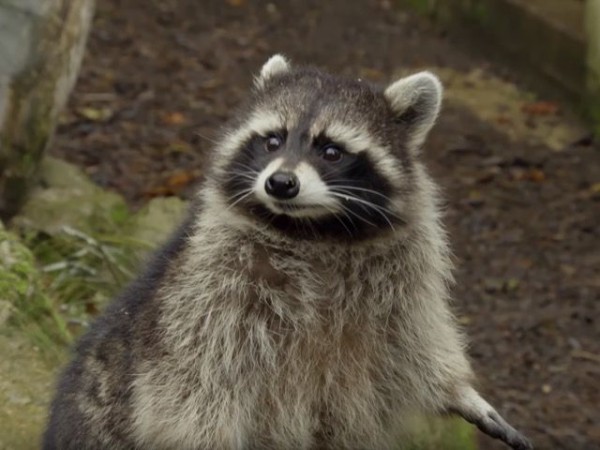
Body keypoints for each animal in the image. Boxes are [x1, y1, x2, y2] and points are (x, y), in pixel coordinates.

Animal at [42, 56, 528, 450]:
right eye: (273, 141)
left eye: (331, 151)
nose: (280, 183)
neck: (314, 232)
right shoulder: (207, 291)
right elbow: (192, 387)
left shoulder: (401, 275)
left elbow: (414, 342)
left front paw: (459, 390)